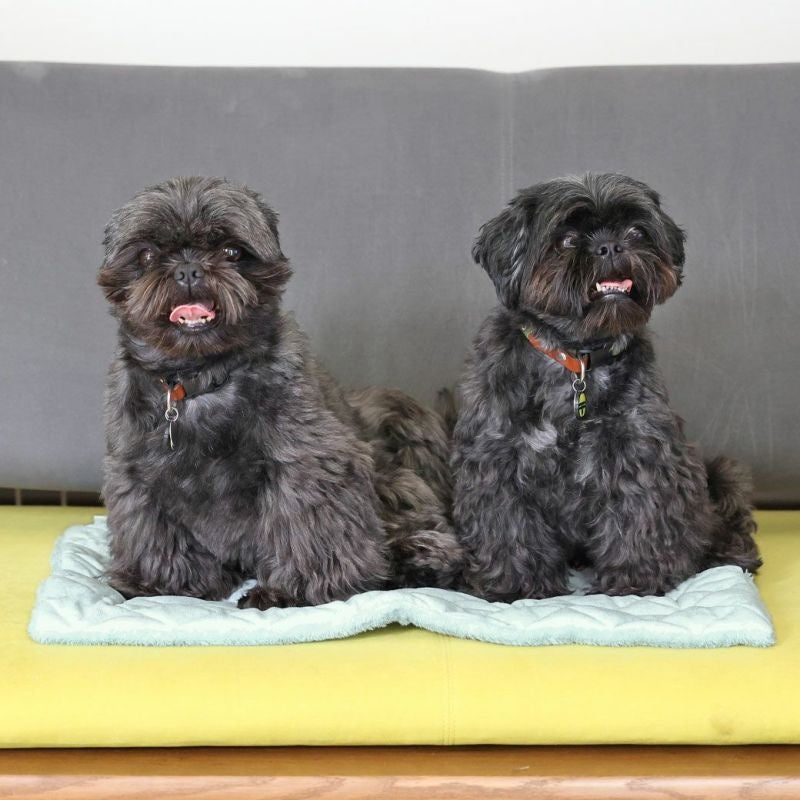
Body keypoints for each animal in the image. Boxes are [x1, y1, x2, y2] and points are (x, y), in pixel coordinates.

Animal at [97, 176, 461, 609]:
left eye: (232, 251)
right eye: (149, 255)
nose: (188, 268)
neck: (201, 379)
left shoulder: (308, 464)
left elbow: (302, 523)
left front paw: (292, 590)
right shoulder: (137, 477)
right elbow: (155, 534)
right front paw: (164, 583)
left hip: (395, 482)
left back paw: (418, 559)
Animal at [451, 173, 761, 600]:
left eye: (635, 231)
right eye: (567, 239)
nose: (610, 246)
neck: (576, 357)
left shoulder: (641, 452)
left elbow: (637, 516)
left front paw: (635, 580)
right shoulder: (498, 459)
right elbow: (510, 527)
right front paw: (518, 585)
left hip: (722, 472)